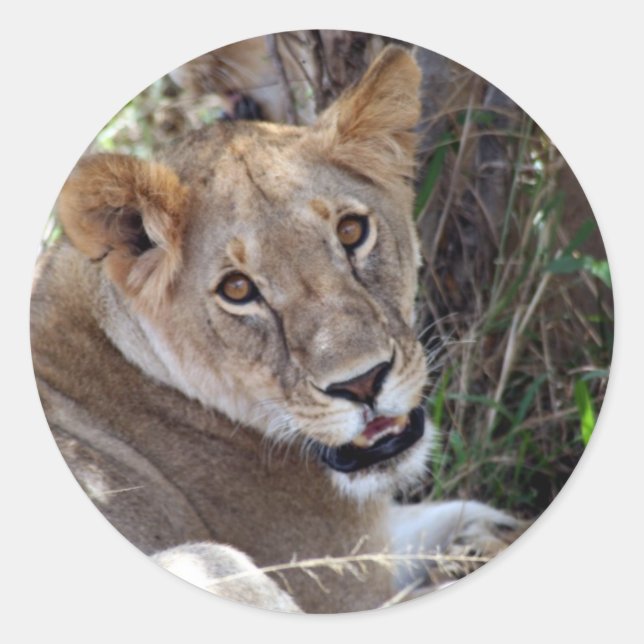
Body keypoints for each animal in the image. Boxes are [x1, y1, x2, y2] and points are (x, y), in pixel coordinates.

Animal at [31, 45, 522, 613]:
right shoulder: (341, 578)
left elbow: (449, 512)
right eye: (238, 289)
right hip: (203, 560)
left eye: (351, 231)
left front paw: (492, 529)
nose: (363, 384)